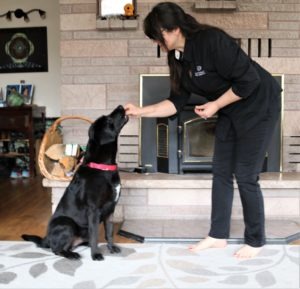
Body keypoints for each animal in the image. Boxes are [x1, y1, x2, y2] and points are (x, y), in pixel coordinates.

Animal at [21, 104, 127, 260]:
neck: (102, 167)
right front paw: (96, 254)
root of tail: (47, 238)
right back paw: (72, 255)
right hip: (67, 224)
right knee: (56, 249)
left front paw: (111, 248)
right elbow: (95, 235)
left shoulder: (111, 209)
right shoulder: (94, 210)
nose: (121, 106)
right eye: (108, 120)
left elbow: (109, 232)